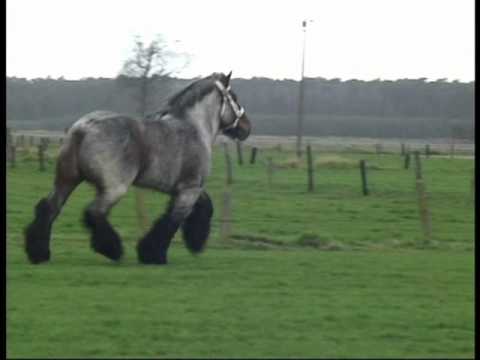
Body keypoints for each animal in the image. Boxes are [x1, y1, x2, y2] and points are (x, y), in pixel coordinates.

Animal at [24, 71, 251, 266]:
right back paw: (113, 250)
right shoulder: (190, 189)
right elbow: (172, 221)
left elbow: (204, 206)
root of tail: (83, 128)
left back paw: (39, 253)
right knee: (94, 213)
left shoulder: (185, 189)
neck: (194, 128)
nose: (247, 128)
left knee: (49, 208)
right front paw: (154, 254)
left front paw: (193, 241)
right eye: (234, 97)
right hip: (114, 188)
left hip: (67, 181)